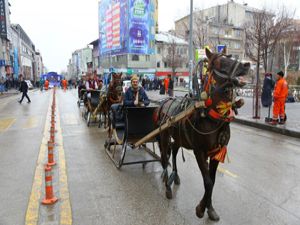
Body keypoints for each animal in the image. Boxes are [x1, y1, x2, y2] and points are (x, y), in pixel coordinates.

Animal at [156, 48, 250, 221]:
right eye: (221, 62)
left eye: (230, 57)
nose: (246, 65)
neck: (213, 118)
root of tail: (164, 102)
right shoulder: (199, 151)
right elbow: (207, 182)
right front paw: (200, 209)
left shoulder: (216, 152)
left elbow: (212, 180)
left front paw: (210, 209)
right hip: (164, 137)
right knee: (165, 157)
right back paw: (167, 185)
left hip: (179, 138)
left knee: (174, 151)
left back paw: (175, 177)